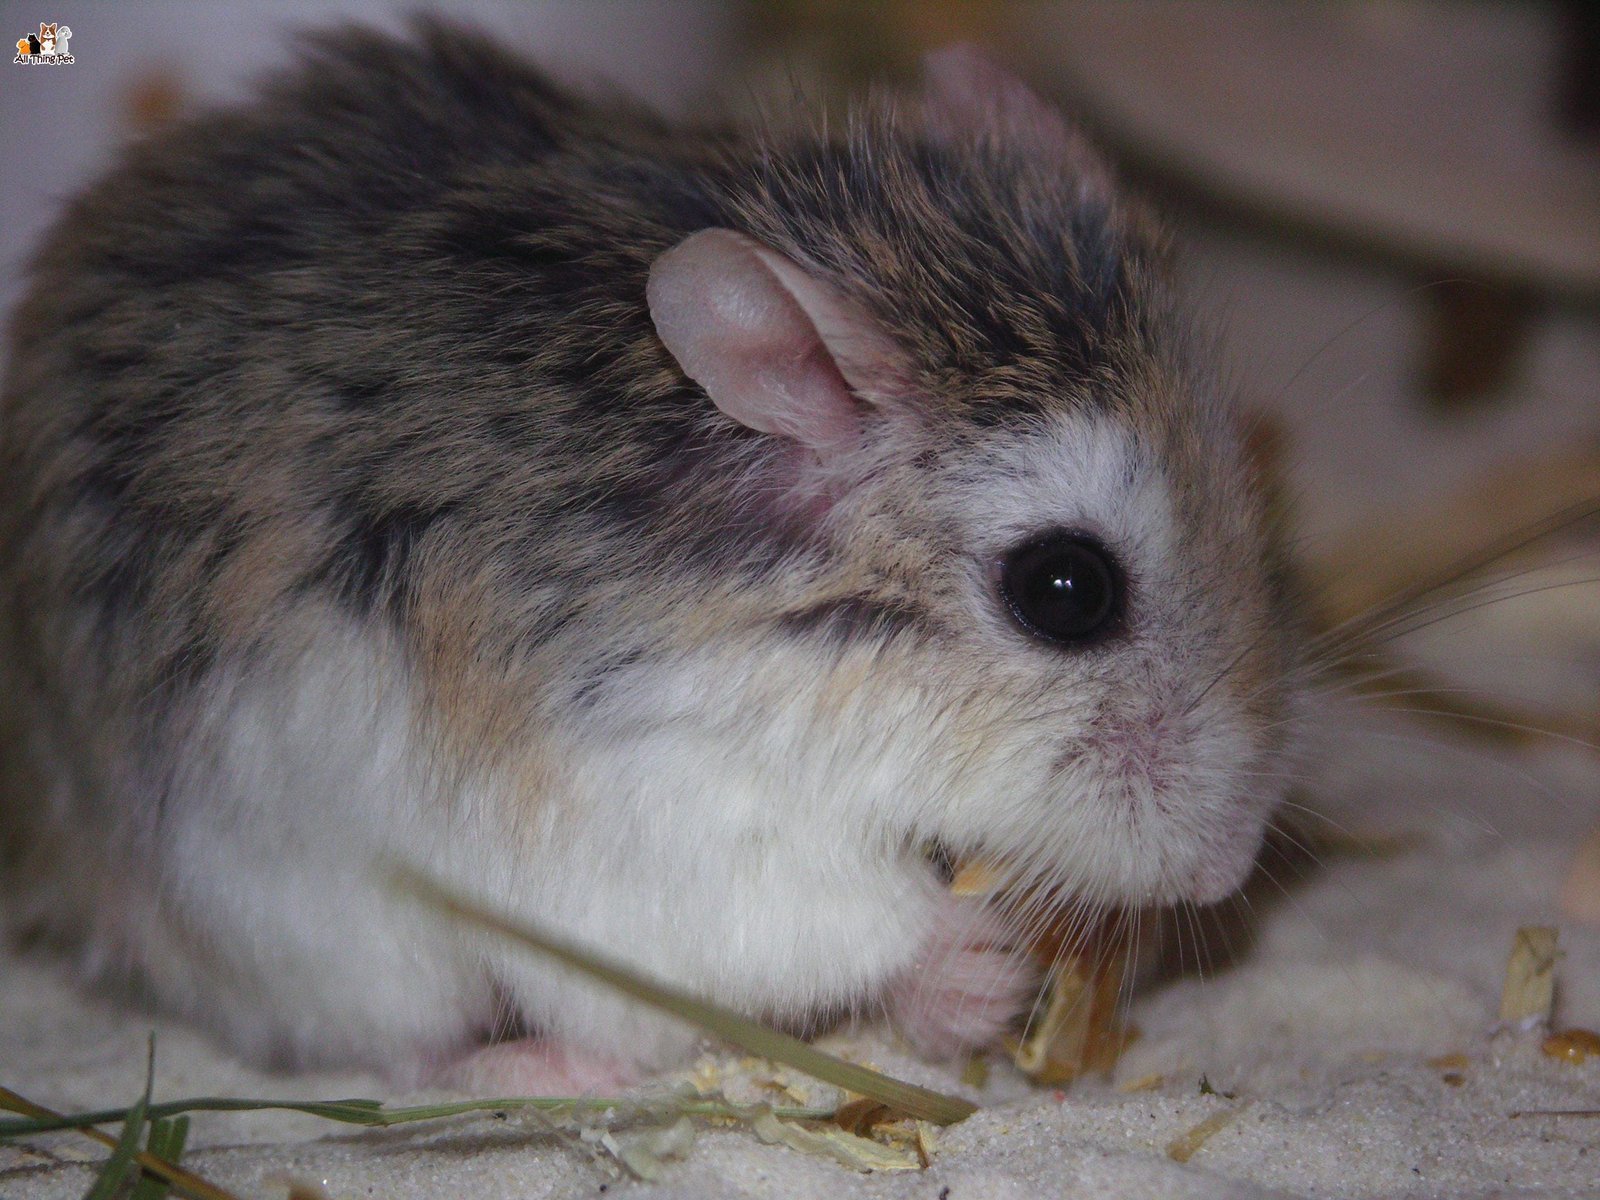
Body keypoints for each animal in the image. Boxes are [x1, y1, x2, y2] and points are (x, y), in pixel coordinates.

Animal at [0, 20, 1305, 1090]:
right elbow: (855, 921)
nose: (1225, 868)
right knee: (430, 1049)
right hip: (320, 931)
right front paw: (977, 965)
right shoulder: (679, 820)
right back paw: (519, 1071)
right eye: (1065, 591)